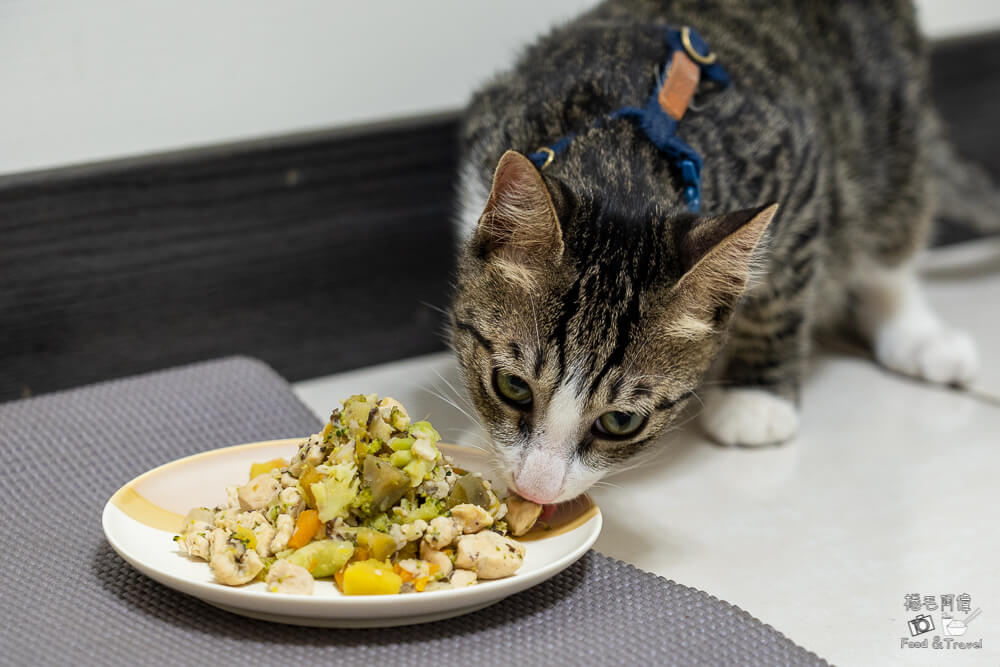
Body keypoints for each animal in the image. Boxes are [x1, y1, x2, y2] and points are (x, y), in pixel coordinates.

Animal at [452, 0, 992, 500]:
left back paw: (916, 332)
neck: (621, 159)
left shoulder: (799, 165)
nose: (535, 489)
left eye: (620, 422)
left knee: (891, 230)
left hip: (887, 131)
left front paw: (757, 398)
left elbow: (784, 287)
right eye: (512, 387)